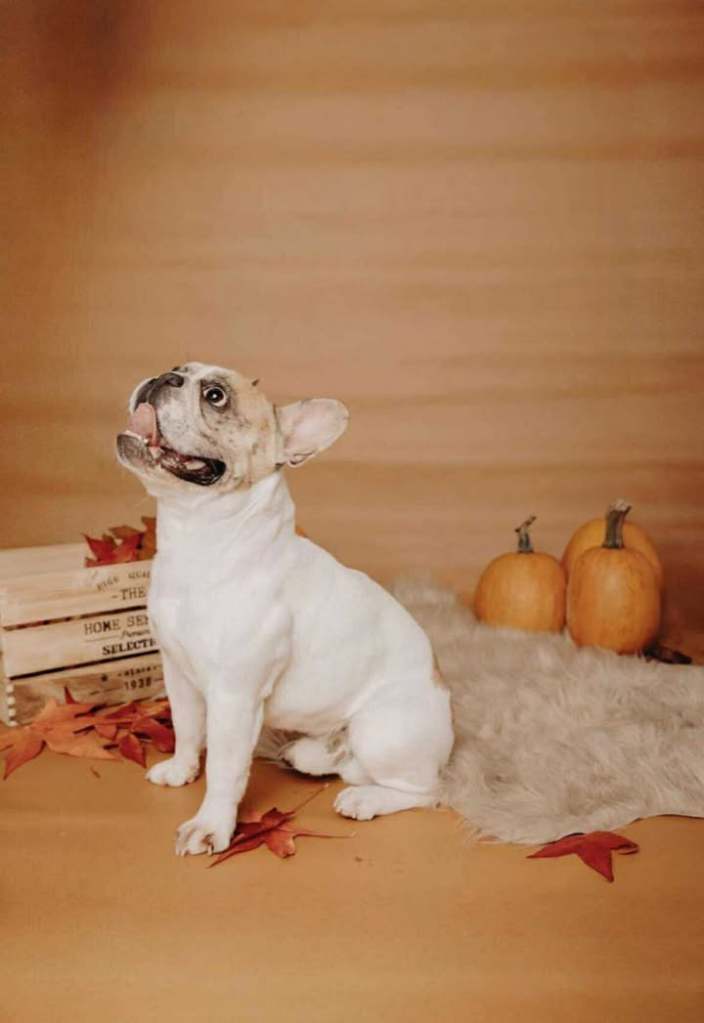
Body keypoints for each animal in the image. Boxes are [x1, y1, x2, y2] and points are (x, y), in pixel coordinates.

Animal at [116, 362, 454, 855]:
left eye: (215, 395)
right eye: (177, 369)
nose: (166, 376)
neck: (199, 538)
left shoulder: (234, 697)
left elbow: (224, 768)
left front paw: (211, 825)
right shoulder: (177, 673)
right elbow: (186, 727)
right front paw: (181, 769)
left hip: (383, 730)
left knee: (425, 792)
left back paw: (367, 798)